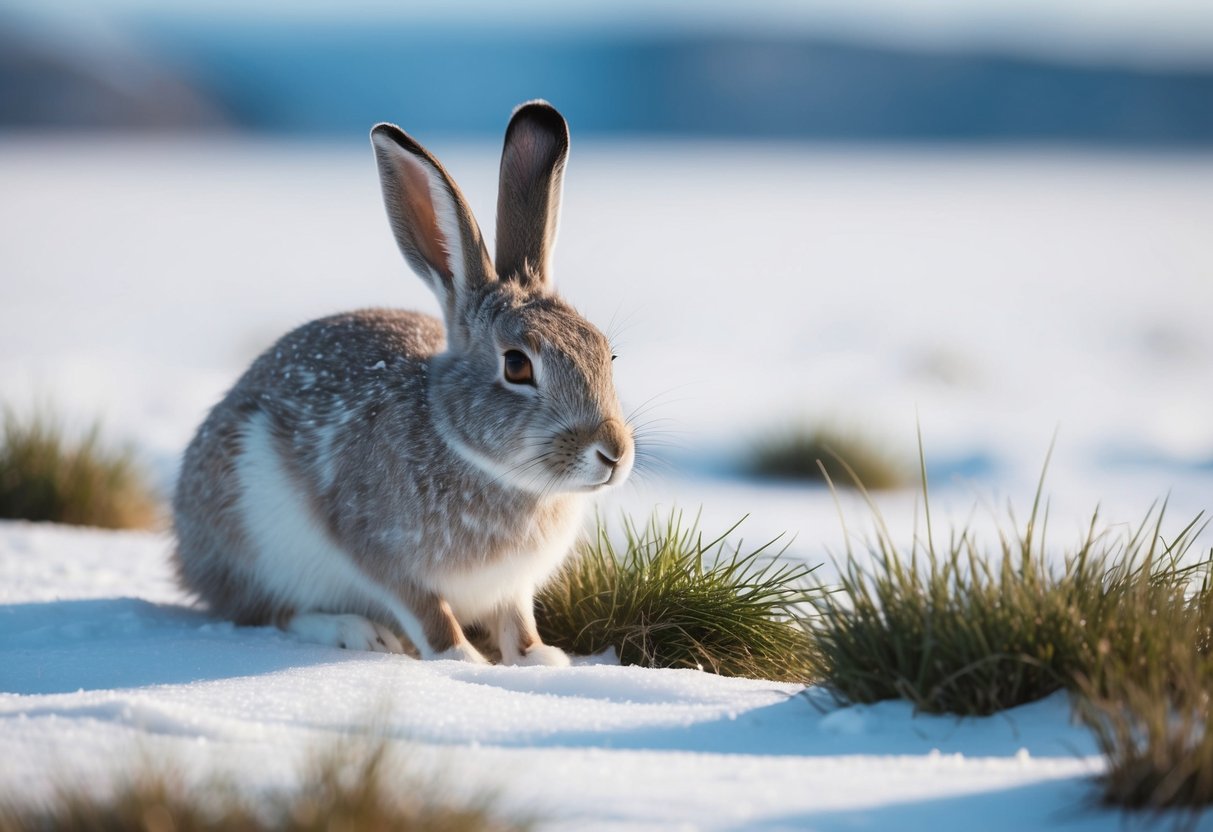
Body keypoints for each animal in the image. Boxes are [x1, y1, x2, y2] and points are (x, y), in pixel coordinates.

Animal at [172, 101, 633, 666]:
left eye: (608, 354)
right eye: (517, 367)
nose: (613, 453)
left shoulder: (513, 587)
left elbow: (516, 620)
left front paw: (538, 660)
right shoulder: (382, 554)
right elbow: (428, 614)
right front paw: (463, 661)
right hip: (257, 539)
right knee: (269, 611)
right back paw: (355, 631)